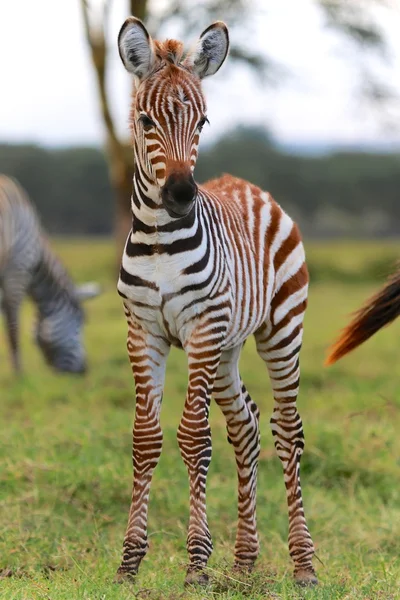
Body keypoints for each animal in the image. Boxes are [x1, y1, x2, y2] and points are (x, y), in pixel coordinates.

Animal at [115, 16, 316, 588]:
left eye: (203, 121)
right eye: (145, 120)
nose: (183, 195)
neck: (161, 241)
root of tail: (248, 186)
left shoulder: (201, 327)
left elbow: (194, 438)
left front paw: (197, 564)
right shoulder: (144, 332)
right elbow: (146, 438)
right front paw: (129, 562)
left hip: (280, 329)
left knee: (287, 430)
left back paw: (303, 564)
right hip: (227, 348)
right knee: (245, 424)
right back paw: (245, 561)